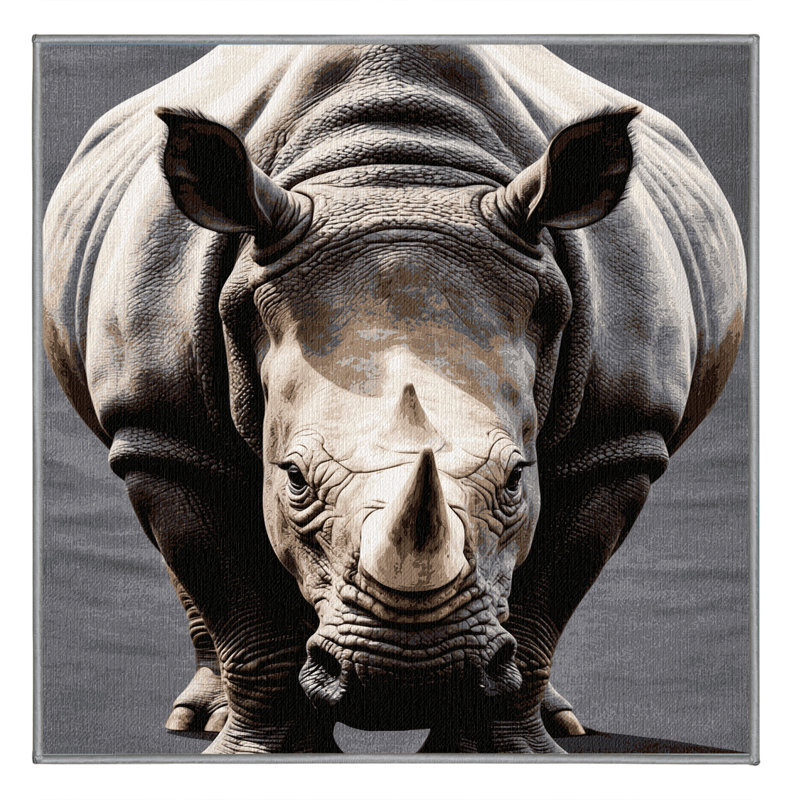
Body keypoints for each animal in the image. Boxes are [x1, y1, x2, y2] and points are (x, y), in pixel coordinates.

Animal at [43, 44, 746, 754]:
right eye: (293, 478)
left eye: (516, 478)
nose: (408, 680)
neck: (396, 177)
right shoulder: (162, 428)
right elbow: (242, 610)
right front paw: (262, 755)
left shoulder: (619, 437)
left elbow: (542, 609)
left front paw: (503, 750)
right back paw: (195, 719)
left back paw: (563, 723)